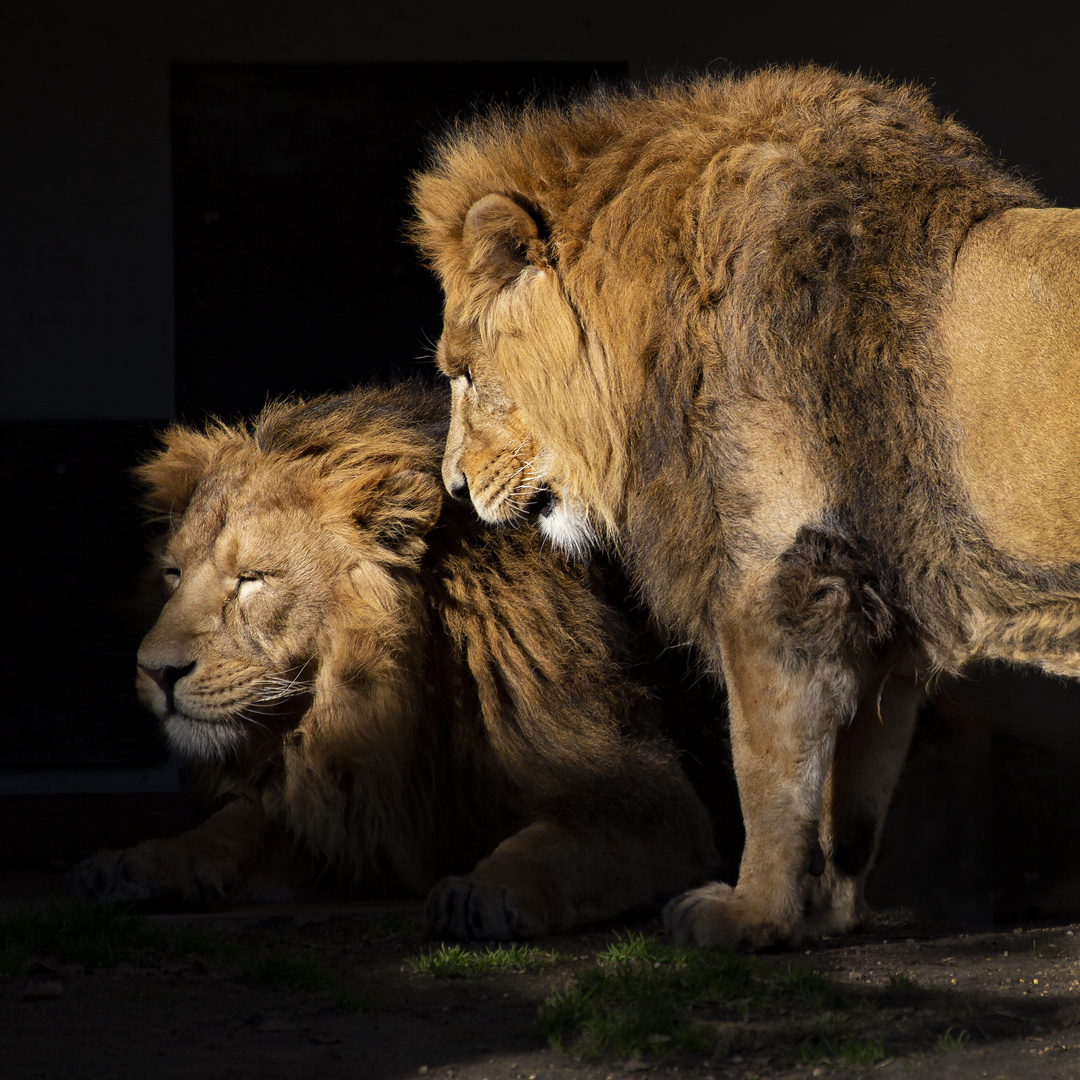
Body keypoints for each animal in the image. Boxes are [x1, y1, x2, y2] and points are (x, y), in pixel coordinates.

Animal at [73, 382, 717, 937]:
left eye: (252, 579)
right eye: (173, 574)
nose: (156, 672)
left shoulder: (645, 795)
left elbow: (559, 843)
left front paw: (486, 890)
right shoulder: (353, 813)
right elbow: (237, 824)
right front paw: (141, 863)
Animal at [406, 65, 1080, 946]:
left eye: (463, 374)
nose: (451, 486)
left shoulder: (778, 576)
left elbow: (767, 771)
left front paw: (745, 913)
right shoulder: (875, 604)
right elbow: (849, 797)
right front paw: (820, 919)